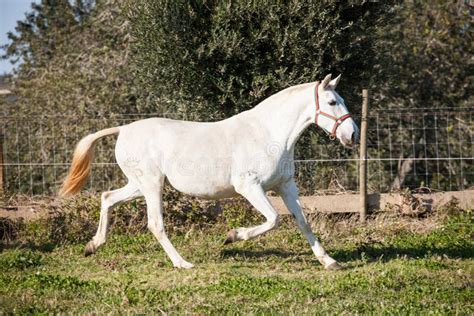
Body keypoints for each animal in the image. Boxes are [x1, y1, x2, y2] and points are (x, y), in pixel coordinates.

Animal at [62, 73, 360, 270]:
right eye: (332, 102)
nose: (353, 135)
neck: (268, 133)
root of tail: (123, 129)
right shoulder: (249, 187)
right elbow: (274, 219)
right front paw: (232, 236)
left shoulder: (285, 185)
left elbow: (302, 221)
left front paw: (330, 262)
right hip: (151, 184)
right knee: (155, 223)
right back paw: (183, 263)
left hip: (138, 185)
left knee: (107, 197)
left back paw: (93, 245)